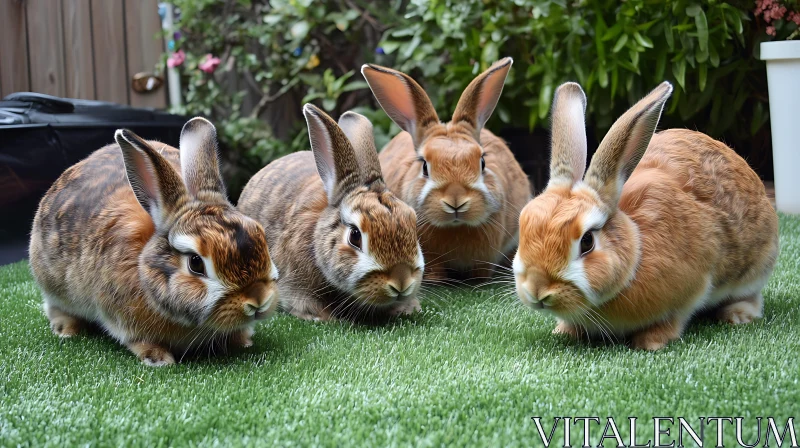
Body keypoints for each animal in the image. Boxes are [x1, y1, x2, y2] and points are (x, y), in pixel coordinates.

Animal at [29, 117, 280, 366]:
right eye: (196, 263)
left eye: (261, 237)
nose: (258, 300)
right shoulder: (122, 320)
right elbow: (138, 340)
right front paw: (159, 359)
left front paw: (243, 341)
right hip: (53, 288)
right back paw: (65, 330)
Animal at [238, 105, 424, 322]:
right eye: (355, 236)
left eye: (413, 224)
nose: (401, 281)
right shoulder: (294, 284)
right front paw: (323, 318)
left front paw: (408, 308)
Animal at [362, 56, 532, 280]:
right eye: (424, 166)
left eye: (482, 162)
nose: (456, 200)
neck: (454, 229)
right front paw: (436, 279)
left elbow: (482, 271)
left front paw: (478, 280)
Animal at [512, 82, 780, 352]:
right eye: (523, 225)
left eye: (587, 241)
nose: (537, 290)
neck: (636, 252)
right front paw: (563, 331)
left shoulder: (691, 290)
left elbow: (674, 319)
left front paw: (650, 342)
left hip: (755, 271)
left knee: (752, 298)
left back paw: (737, 315)